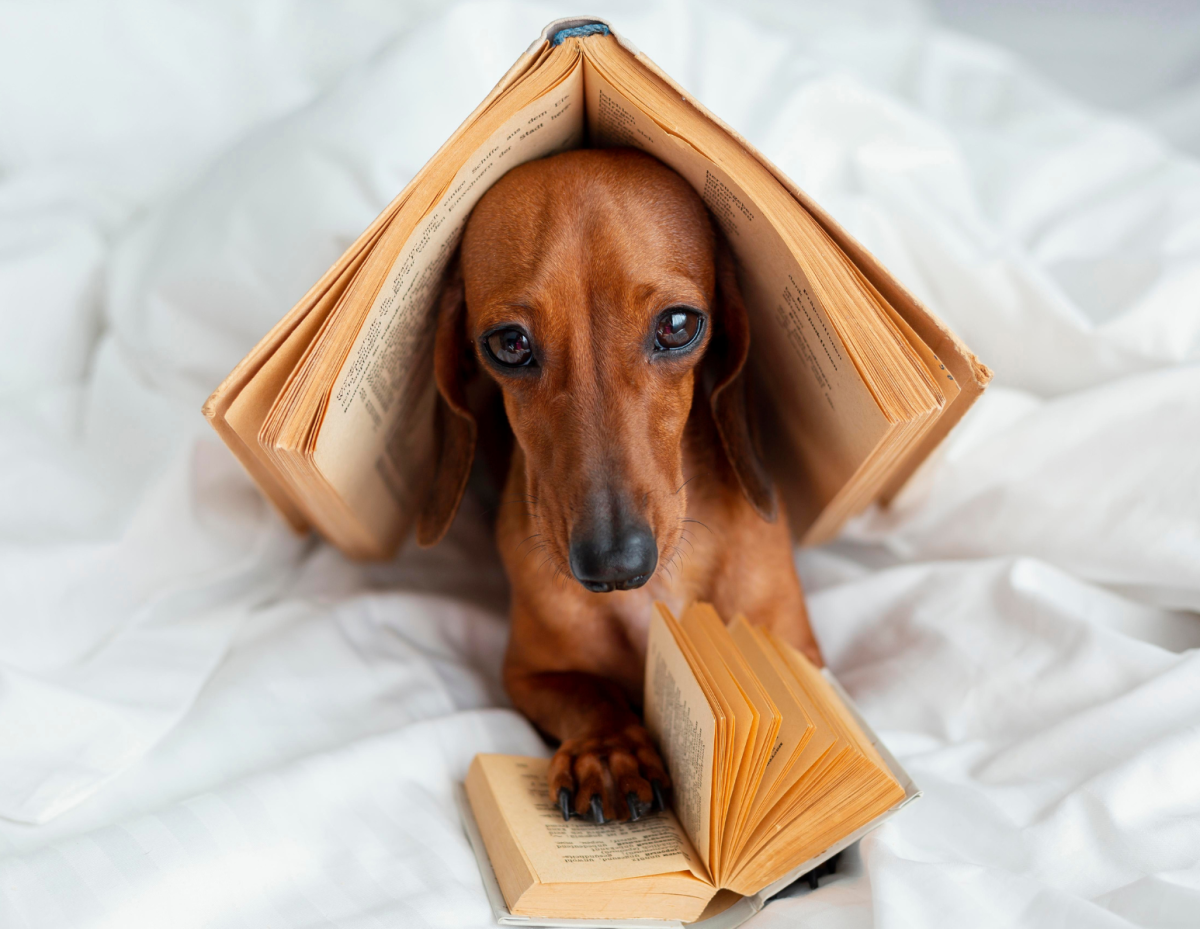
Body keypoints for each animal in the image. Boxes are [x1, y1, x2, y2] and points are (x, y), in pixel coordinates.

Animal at [417, 149, 820, 825]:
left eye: (679, 324)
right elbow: (590, 692)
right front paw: (608, 750)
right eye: (509, 343)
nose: (614, 565)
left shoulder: (799, 648)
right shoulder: (529, 674)